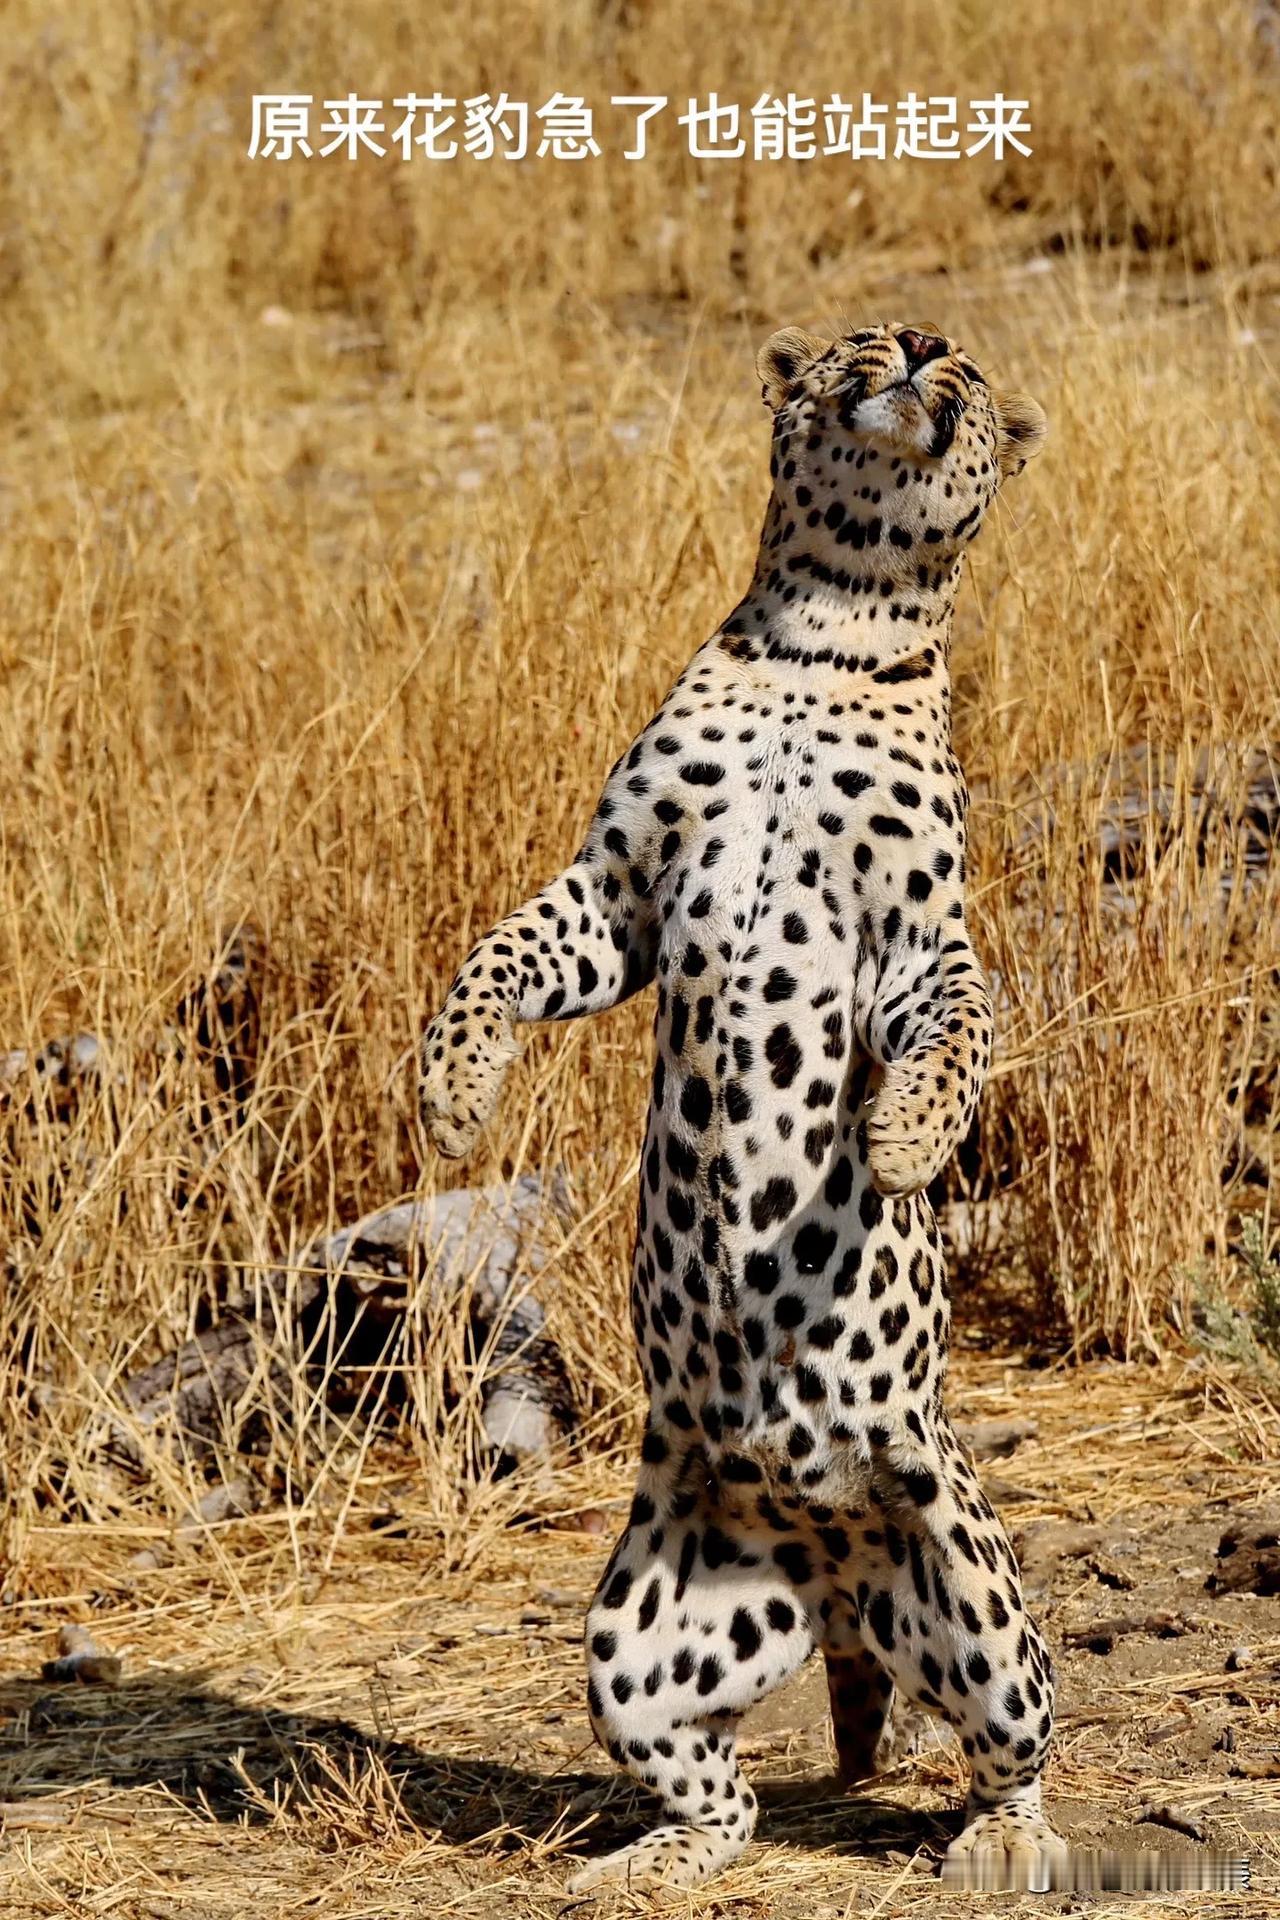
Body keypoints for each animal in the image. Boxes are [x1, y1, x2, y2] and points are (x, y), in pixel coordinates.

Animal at [420, 314, 1059, 1889]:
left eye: (962, 366)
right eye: (869, 336)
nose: (923, 347)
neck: (828, 635)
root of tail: (829, 1580)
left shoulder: (914, 937)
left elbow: (957, 1028)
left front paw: (901, 1143)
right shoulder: (619, 895)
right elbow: (499, 952)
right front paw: (453, 1094)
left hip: (968, 1567)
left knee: (1014, 1741)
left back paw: (1004, 1846)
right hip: (633, 1634)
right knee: (721, 1794)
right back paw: (641, 1870)